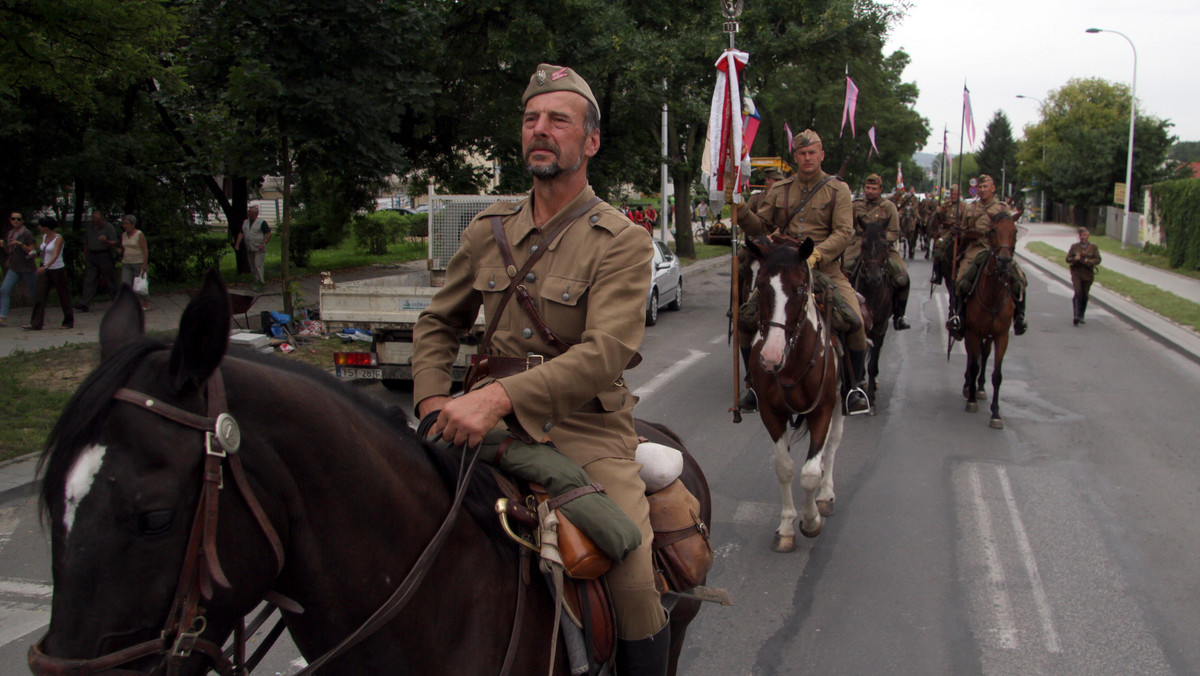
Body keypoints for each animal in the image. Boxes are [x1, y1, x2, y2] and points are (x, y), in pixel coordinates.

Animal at [739, 235, 844, 552]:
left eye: (798, 289)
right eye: (762, 286)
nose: (770, 357)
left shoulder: (822, 409)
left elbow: (810, 472)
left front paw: (810, 521)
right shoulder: (771, 413)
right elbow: (784, 467)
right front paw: (786, 526)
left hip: (839, 402)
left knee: (831, 447)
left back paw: (826, 495)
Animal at [960, 213, 1017, 432]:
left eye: (1015, 231)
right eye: (993, 230)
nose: (1004, 261)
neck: (992, 296)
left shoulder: (1002, 336)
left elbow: (997, 375)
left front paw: (996, 413)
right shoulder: (973, 332)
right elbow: (974, 364)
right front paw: (972, 400)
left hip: (990, 335)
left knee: (984, 354)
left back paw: (980, 387)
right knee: (973, 358)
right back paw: (969, 386)